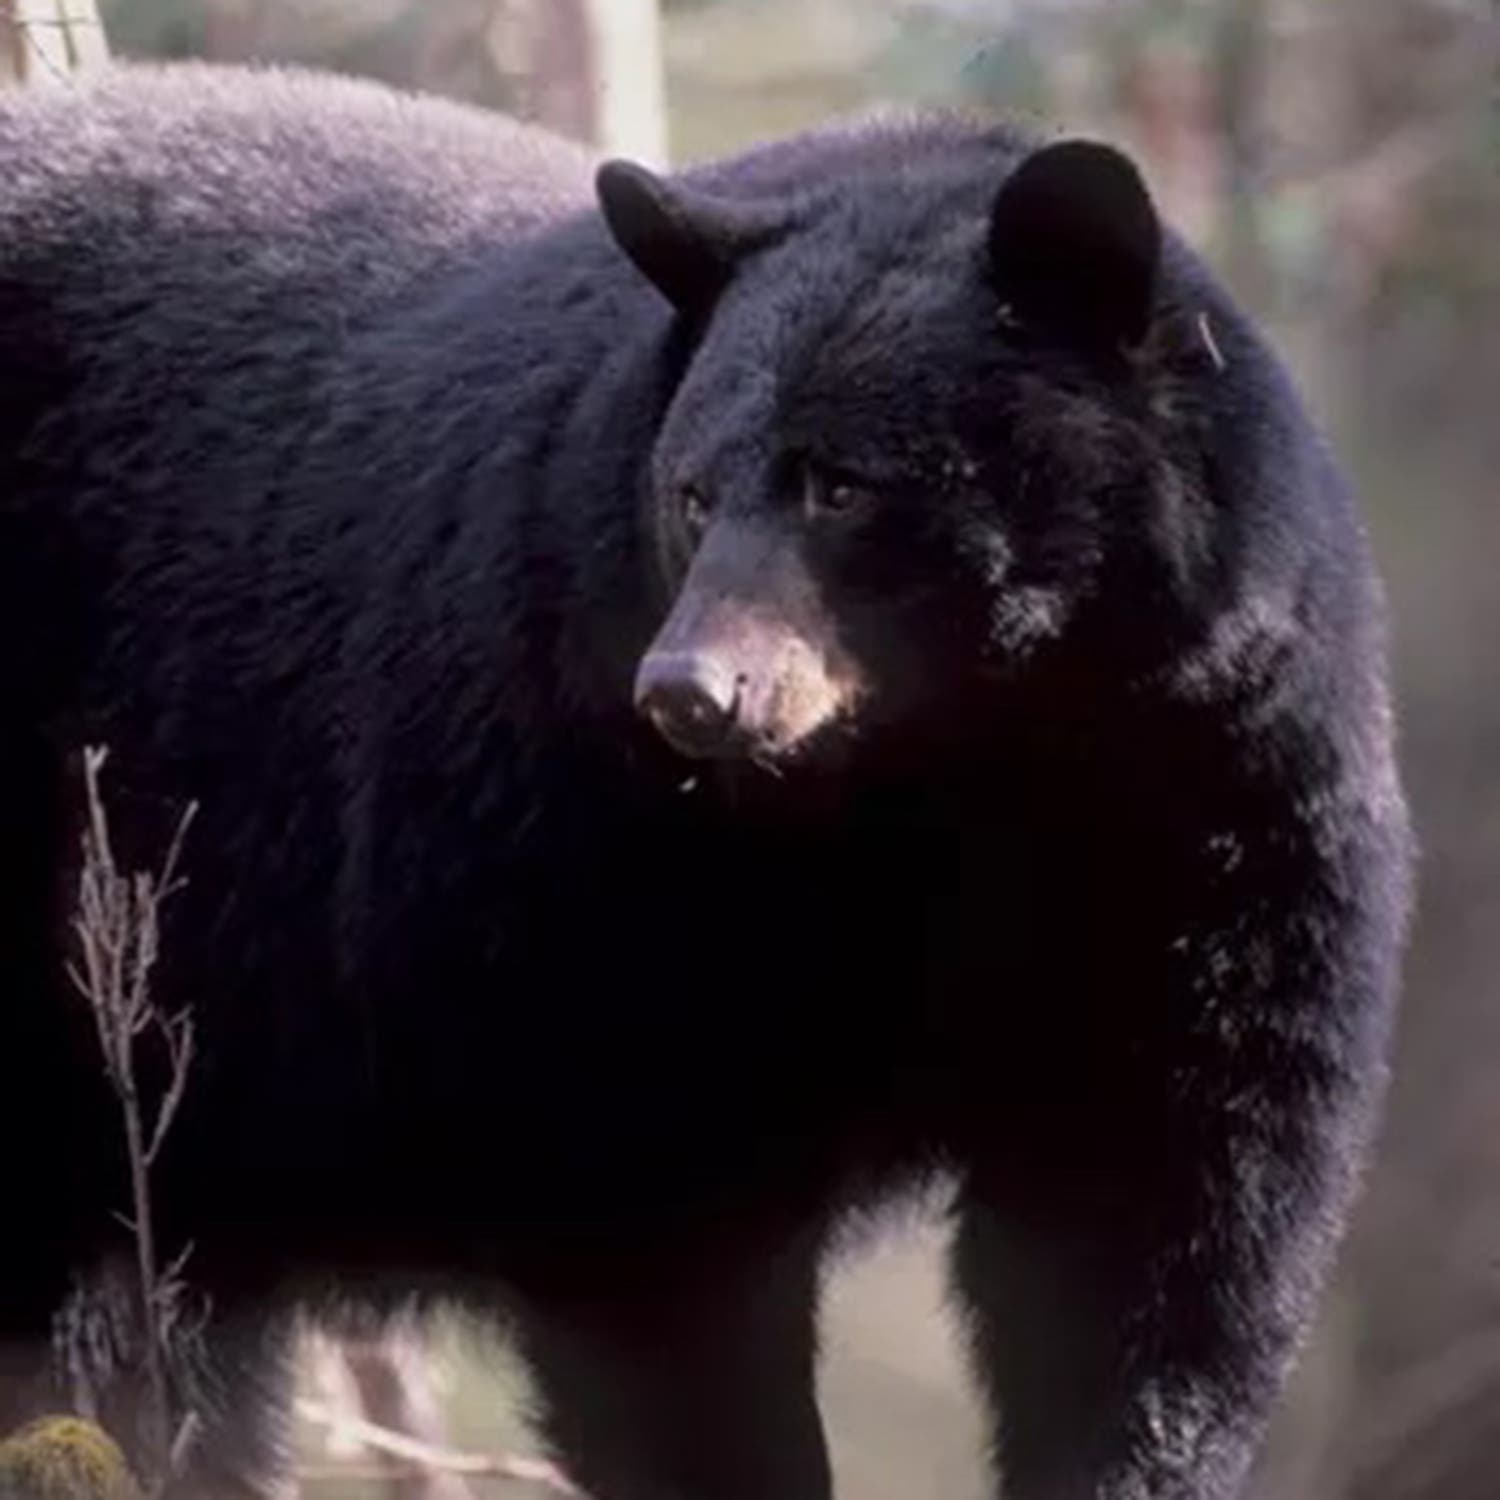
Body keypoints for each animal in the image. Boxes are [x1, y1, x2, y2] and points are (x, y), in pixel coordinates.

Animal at [0, 61, 1413, 1500]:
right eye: (691, 491)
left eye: (842, 485)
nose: (687, 690)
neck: (962, 772)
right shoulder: (591, 844)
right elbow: (653, 1225)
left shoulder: (1218, 811)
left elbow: (1160, 1221)